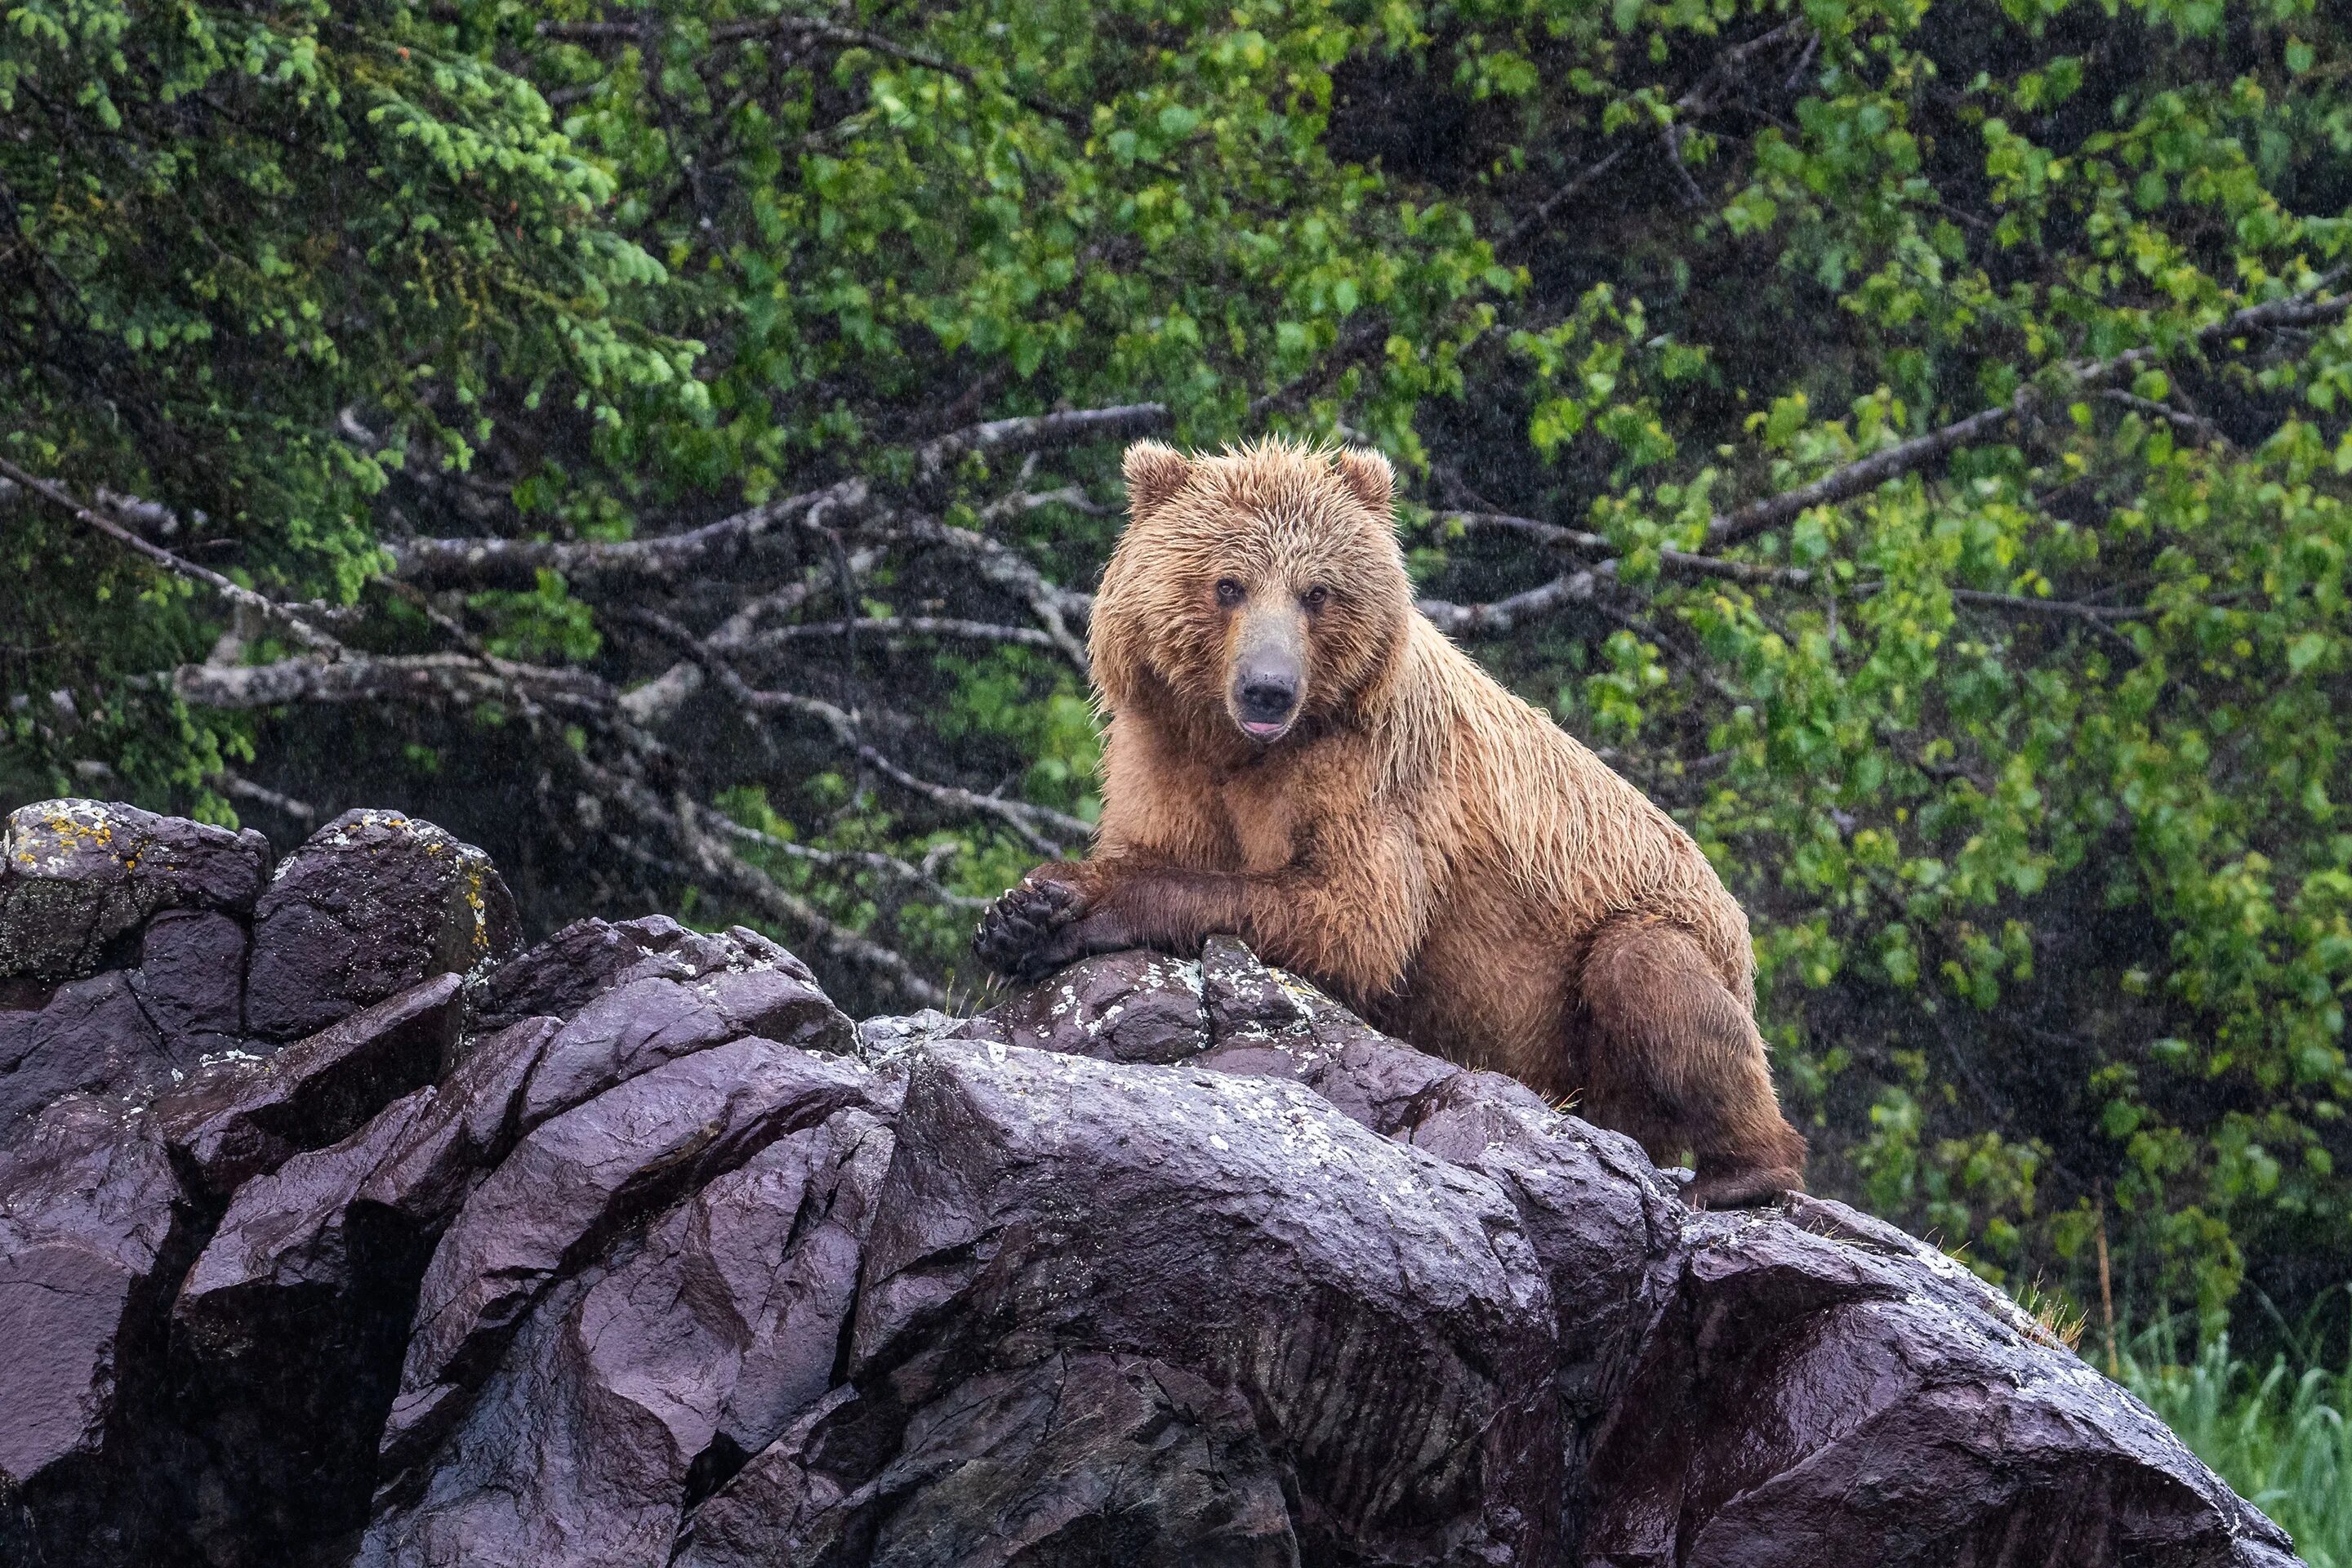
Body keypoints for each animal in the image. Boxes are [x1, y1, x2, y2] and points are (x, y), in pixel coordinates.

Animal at [969, 434, 1797, 1213]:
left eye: (1316, 591)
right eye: (1228, 584)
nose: (1269, 689)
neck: (1242, 751)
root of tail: (1736, 921)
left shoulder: (1369, 773)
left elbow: (1350, 914)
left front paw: (1067, 902)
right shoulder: (1164, 752)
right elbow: (1167, 843)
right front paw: (1015, 918)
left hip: (1643, 956)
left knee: (1652, 977)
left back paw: (1739, 1173)